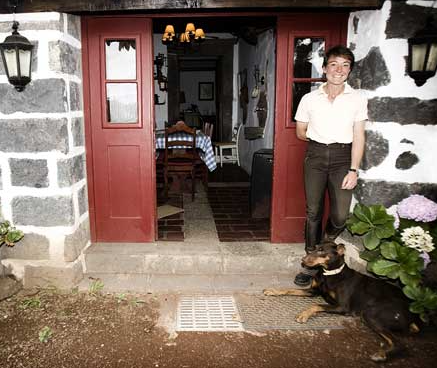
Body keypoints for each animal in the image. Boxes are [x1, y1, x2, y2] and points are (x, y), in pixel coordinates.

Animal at [262, 242, 418, 362]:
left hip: (371, 313)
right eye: (315, 247)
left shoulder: (342, 307)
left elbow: (316, 304)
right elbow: (289, 289)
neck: (328, 274)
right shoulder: (314, 291)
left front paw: (303, 315)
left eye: (321, 251)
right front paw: (273, 291)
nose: (303, 259)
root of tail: (412, 314)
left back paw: (381, 355)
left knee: (400, 344)